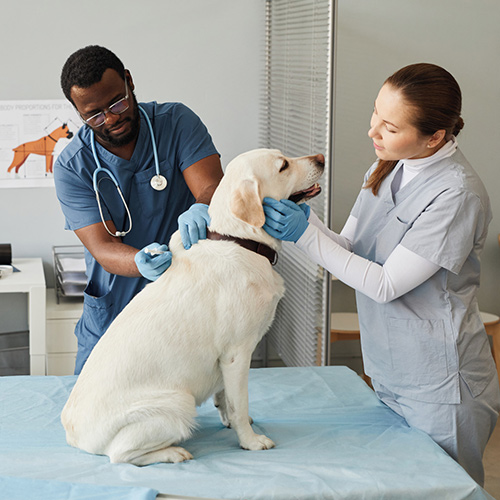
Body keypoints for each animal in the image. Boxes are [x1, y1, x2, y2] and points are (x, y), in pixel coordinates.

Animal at [61, 148, 324, 464]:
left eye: (284, 157)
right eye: (283, 165)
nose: (321, 158)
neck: (240, 240)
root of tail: (74, 436)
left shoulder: (225, 362)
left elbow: (225, 398)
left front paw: (230, 421)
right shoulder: (237, 354)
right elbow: (240, 404)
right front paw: (250, 440)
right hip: (179, 402)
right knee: (120, 455)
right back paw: (174, 452)